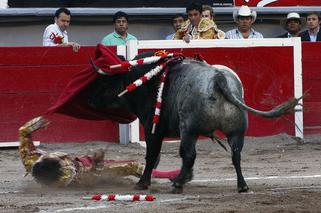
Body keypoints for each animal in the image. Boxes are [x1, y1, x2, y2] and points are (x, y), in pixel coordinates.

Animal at [90, 52, 300, 194]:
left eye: (104, 82)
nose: (91, 101)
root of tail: (218, 78)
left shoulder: (152, 128)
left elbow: (152, 156)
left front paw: (143, 183)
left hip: (189, 130)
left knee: (189, 154)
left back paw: (177, 183)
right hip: (236, 131)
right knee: (236, 155)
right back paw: (242, 185)